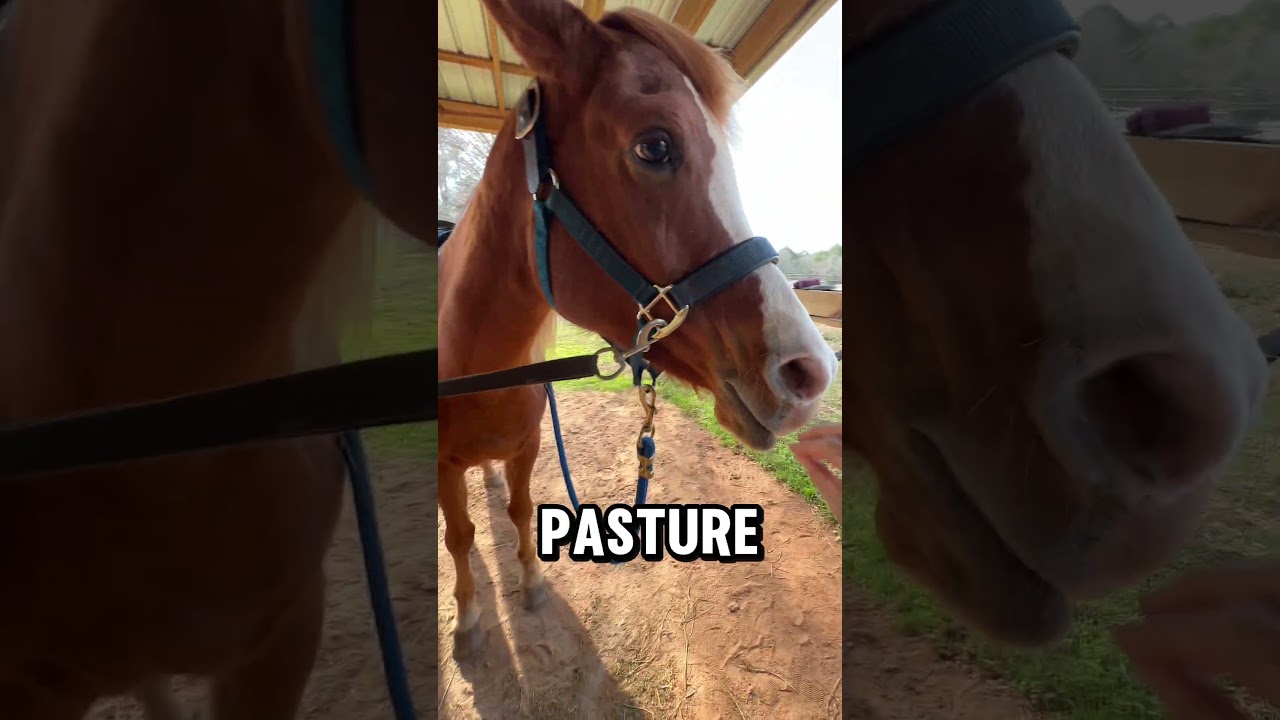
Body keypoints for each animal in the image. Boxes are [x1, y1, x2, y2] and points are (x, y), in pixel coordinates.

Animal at [437, 0, 840, 656]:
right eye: (655, 146)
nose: (812, 373)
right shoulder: (444, 468)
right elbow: (460, 537)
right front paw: (470, 618)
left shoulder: (528, 446)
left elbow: (521, 511)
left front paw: (530, 582)